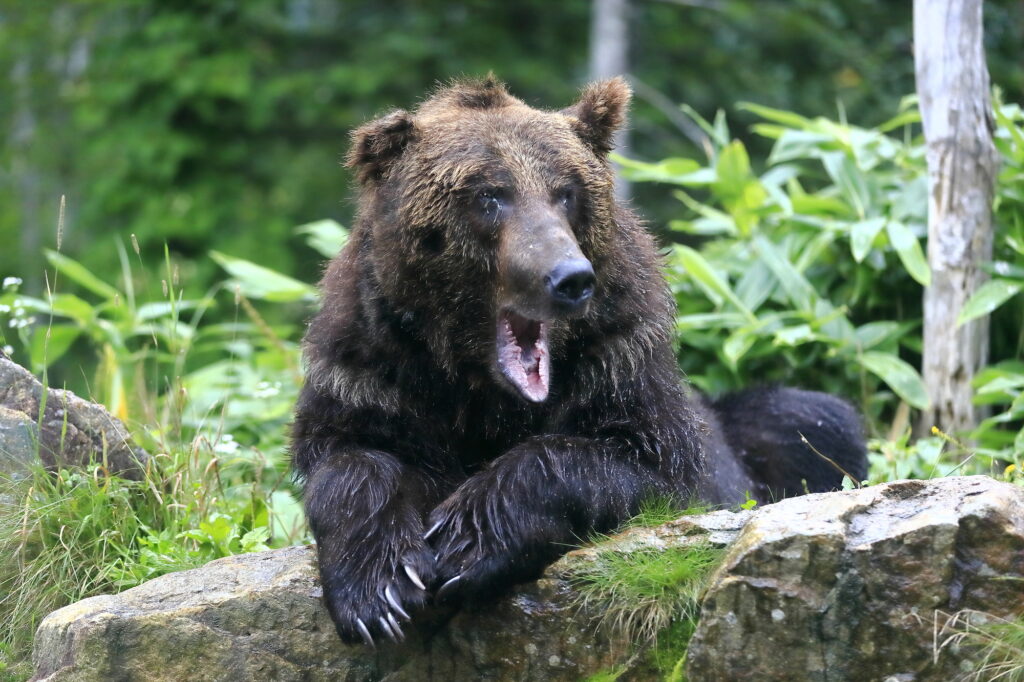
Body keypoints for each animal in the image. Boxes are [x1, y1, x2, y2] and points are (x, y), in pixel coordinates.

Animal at [290, 75, 864, 643]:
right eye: (489, 195)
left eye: (567, 192)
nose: (569, 277)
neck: (479, 387)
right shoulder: (373, 370)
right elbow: (349, 458)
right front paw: (380, 591)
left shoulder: (620, 361)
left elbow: (634, 460)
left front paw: (465, 542)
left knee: (810, 418)